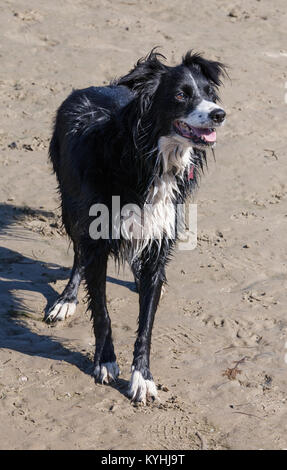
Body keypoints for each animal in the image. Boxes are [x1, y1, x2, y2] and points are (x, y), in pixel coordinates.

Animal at [46, 51, 227, 404]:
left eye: (210, 93)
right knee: (78, 255)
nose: (219, 114)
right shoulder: (97, 238)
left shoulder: (159, 239)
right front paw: (105, 361)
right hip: (70, 205)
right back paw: (66, 299)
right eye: (181, 95)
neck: (149, 158)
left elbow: (146, 323)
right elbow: (102, 310)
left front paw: (142, 377)